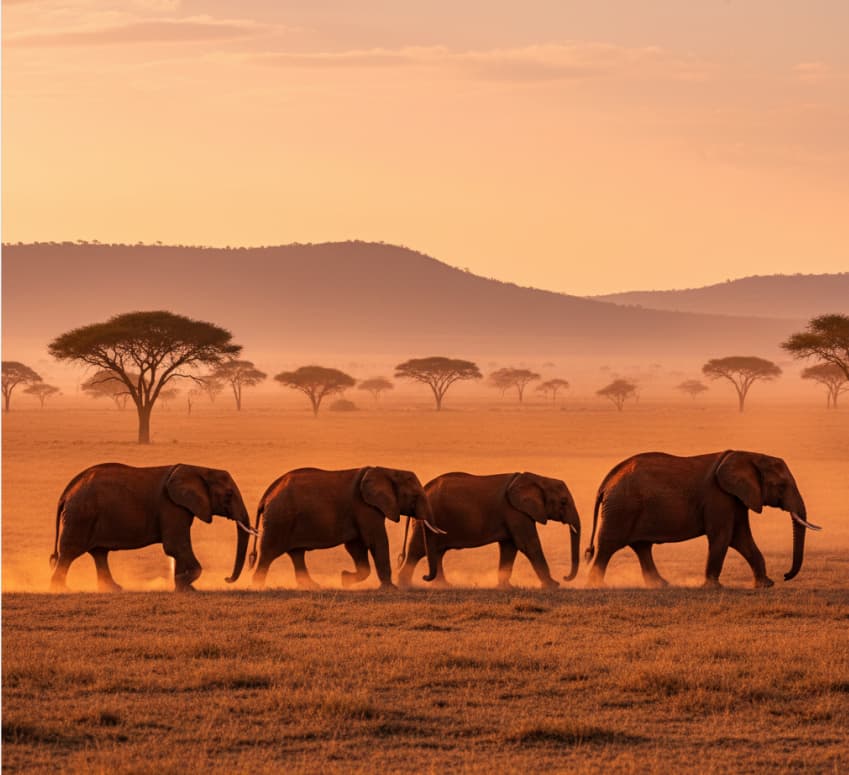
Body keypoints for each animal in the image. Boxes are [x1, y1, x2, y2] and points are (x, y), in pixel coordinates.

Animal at [49, 463, 255, 592]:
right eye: (229, 495)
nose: (226, 579)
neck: (199, 469)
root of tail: (66, 492)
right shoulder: (171, 505)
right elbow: (175, 546)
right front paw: (183, 583)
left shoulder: (181, 507)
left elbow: (177, 548)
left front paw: (184, 587)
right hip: (80, 515)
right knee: (70, 552)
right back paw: (62, 589)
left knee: (99, 553)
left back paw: (114, 588)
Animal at [248, 466, 444, 590]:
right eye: (415, 496)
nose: (425, 577)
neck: (388, 470)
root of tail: (267, 495)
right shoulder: (365, 506)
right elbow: (376, 541)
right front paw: (391, 589)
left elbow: (356, 546)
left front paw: (344, 579)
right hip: (279, 520)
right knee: (268, 553)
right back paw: (257, 586)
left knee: (297, 554)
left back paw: (312, 585)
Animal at [397, 472, 582, 589]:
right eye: (564, 502)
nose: (565, 577)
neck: (539, 478)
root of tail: (424, 488)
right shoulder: (515, 511)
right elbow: (528, 544)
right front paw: (553, 585)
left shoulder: (514, 514)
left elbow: (509, 547)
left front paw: (507, 587)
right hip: (426, 521)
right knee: (417, 550)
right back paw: (406, 585)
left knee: (436, 552)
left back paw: (443, 585)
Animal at [584, 450, 821, 589]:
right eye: (781, 486)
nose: (785, 575)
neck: (748, 455)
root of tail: (607, 481)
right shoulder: (719, 496)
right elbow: (723, 537)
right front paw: (714, 588)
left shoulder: (736, 498)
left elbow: (741, 538)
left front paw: (765, 585)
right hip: (621, 508)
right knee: (608, 545)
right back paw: (596, 586)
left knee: (642, 547)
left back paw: (661, 585)